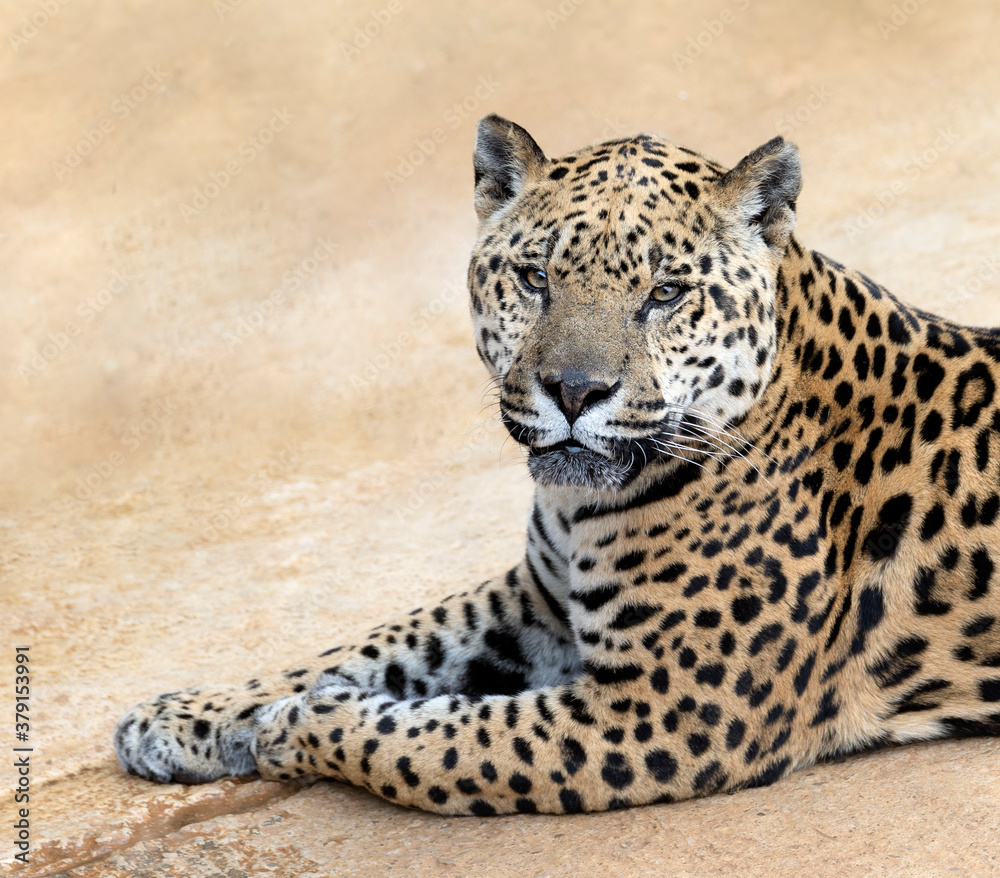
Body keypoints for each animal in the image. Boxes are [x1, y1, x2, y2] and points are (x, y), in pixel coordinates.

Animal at [115, 114, 1000, 815]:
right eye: (535, 276)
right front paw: (189, 715)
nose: (575, 390)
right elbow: (376, 645)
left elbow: (433, 741)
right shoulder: (535, 599)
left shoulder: (667, 711)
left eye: (666, 292)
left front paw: (299, 723)